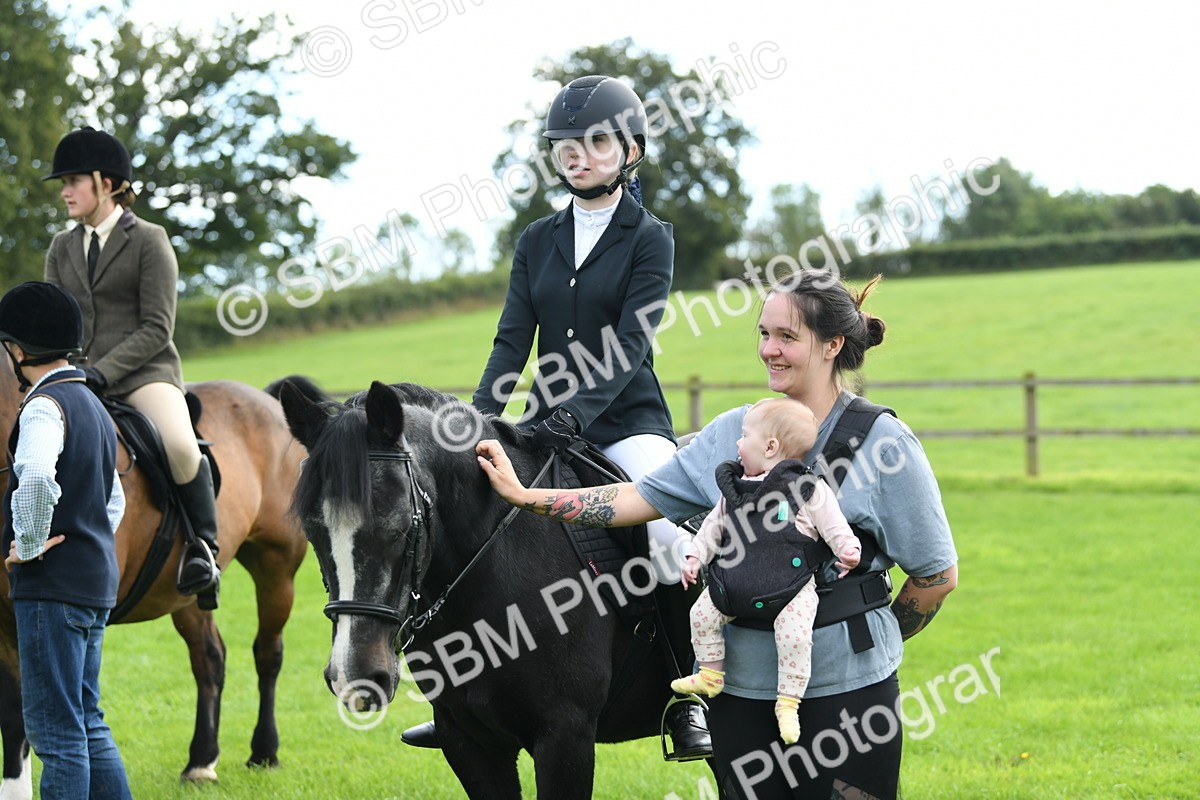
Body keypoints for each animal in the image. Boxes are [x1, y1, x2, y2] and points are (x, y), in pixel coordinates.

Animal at [0, 363, 309, 797]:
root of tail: (266, 398)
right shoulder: (5, 624)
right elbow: (14, 712)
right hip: (184, 596)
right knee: (209, 657)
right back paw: (201, 762)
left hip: (275, 567)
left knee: (268, 652)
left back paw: (264, 753)